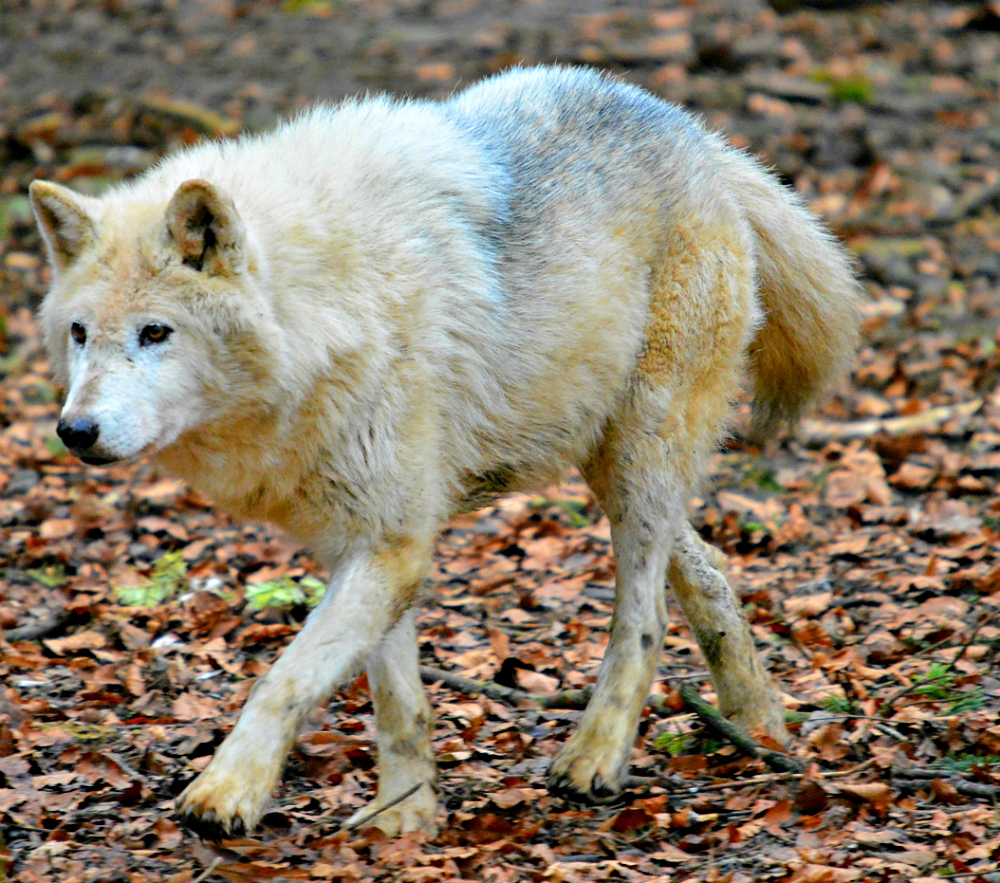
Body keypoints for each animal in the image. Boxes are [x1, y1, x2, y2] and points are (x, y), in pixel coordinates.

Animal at [30, 66, 860, 838]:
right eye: (81, 333)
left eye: (156, 332)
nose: (76, 431)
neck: (327, 301)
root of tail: (701, 137)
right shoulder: (371, 537)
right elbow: (397, 698)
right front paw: (403, 820)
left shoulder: (393, 541)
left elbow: (284, 680)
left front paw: (225, 794)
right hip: (608, 461)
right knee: (711, 567)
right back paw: (758, 724)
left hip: (640, 456)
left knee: (645, 616)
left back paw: (595, 757)